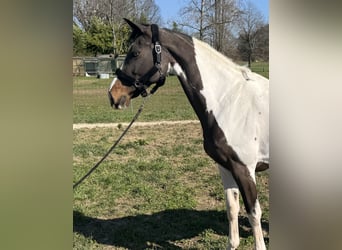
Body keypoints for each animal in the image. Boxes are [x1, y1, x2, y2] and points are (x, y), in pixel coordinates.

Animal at [108, 18, 268, 249]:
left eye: (135, 53)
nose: (112, 95)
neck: (229, 100)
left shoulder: (245, 169)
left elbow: (254, 213)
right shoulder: (226, 167)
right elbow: (232, 210)